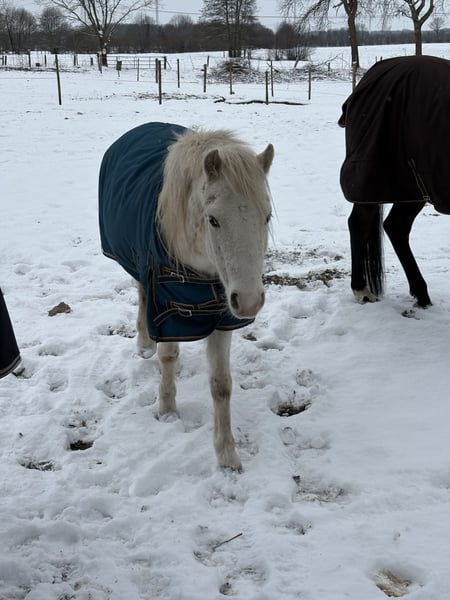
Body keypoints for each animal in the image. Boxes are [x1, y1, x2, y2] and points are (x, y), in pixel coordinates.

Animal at [99, 122, 274, 470]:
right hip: (137, 266)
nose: (250, 301)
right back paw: (144, 344)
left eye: (267, 217)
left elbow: (221, 384)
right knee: (141, 295)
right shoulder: (166, 308)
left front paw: (227, 455)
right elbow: (169, 355)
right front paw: (166, 408)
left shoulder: (223, 315)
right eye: (213, 219)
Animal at [339, 55, 450, 307]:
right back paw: (362, 290)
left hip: (409, 187)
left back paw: (421, 294)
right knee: (360, 224)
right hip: (375, 178)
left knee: (395, 227)